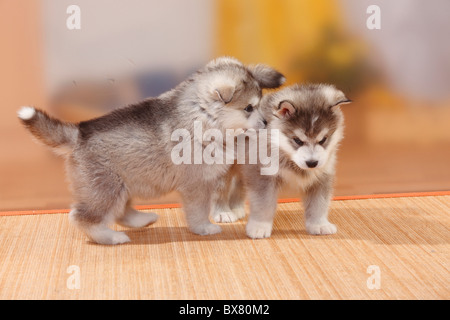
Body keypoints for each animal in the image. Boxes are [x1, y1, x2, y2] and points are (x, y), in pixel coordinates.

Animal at [19, 56, 284, 244]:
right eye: (249, 108)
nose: (266, 122)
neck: (202, 114)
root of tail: (78, 133)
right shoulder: (197, 185)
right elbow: (199, 211)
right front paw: (205, 228)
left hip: (123, 185)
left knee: (121, 211)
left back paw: (143, 219)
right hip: (105, 189)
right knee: (82, 217)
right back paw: (111, 237)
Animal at [241, 84, 350, 239]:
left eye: (323, 139)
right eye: (297, 140)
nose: (312, 163)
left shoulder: (322, 176)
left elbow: (319, 204)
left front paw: (319, 224)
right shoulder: (261, 175)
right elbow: (263, 204)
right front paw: (259, 226)